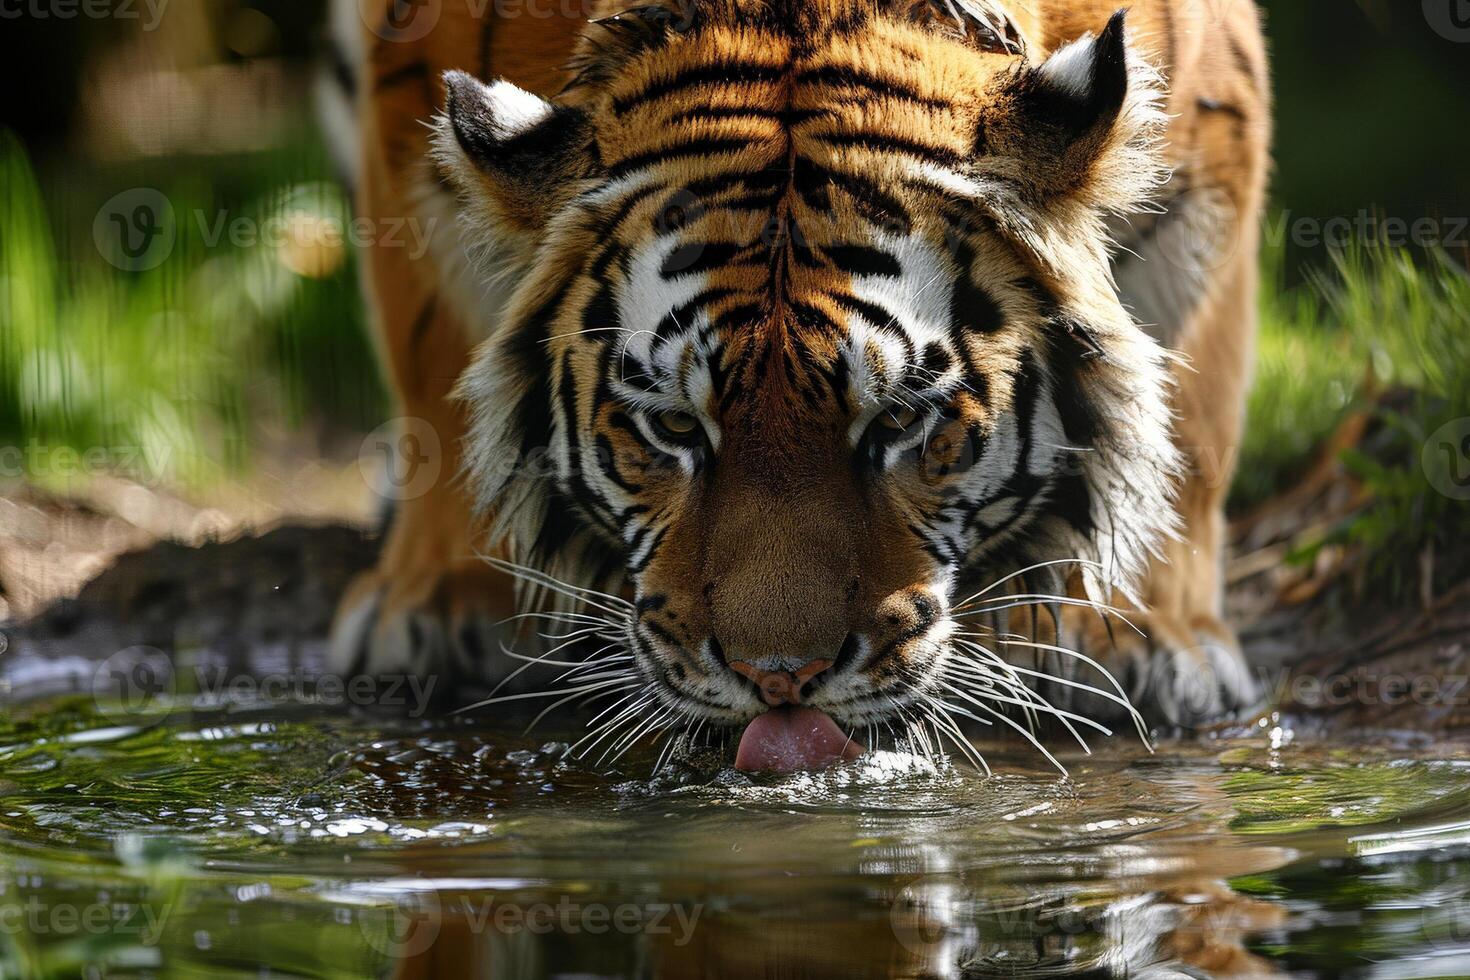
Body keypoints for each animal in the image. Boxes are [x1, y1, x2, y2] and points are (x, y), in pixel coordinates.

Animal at [327, 0, 1270, 764]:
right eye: (674, 428)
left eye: (898, 422)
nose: (780, 681)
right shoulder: (404, 107)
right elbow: (433, 369)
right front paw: (448, 603)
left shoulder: (1212, 139)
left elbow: (1192, 425)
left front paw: (1148, 640)